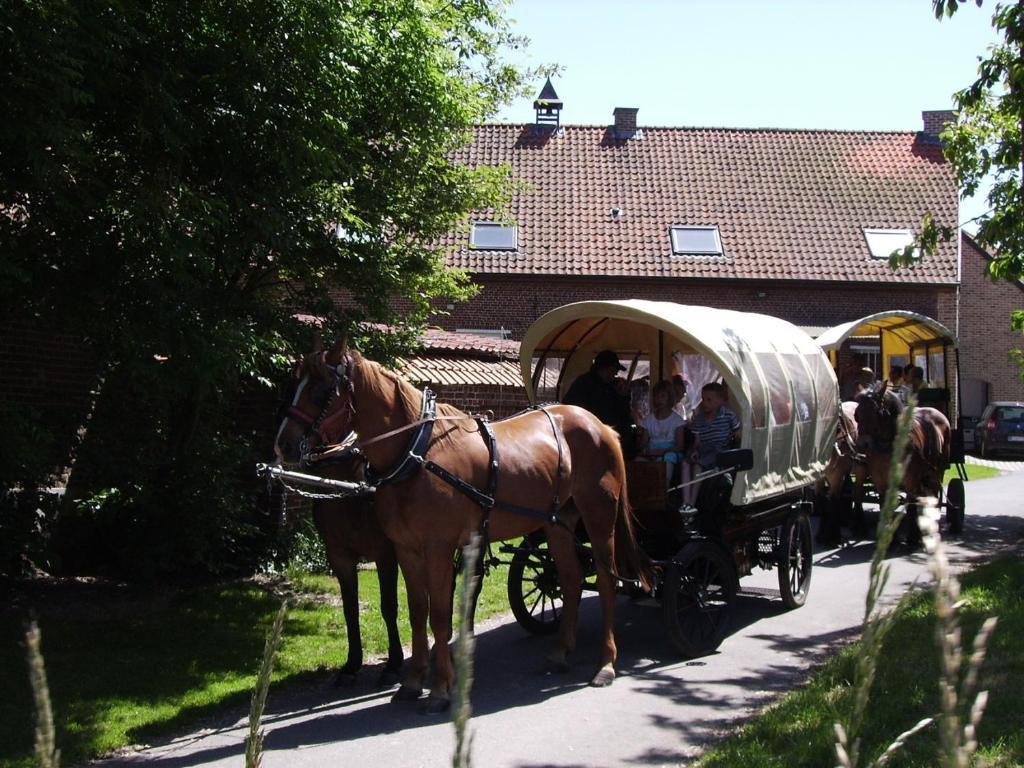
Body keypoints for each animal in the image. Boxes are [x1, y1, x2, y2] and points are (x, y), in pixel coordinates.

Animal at [276, 339, 651, 712]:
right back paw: (559, 654)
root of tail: (601, 426)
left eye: (322, 390)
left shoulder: (437, 549)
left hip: (600, 518)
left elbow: (440, 616)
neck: (417, 453)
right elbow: (417, 612)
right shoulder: (406, 551)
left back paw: (605, 664)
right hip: (559, 523)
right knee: (571, 580)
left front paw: (440, 687)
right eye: (293, 385)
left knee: (606, 581)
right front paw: (412, 682)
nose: (284, 445)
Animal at [851, 387, 946, 544]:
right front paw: (890, 538)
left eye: (879, 413)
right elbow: (884, 505)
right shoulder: (881, 481)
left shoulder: (911, 481)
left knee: (934, 494)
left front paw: (912, 538)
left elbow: (911, 504)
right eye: (857, 414)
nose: (862, 445)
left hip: (936, 472)